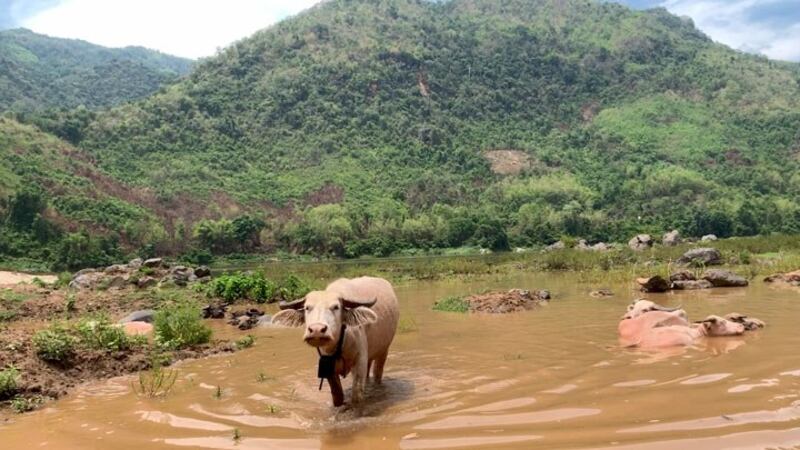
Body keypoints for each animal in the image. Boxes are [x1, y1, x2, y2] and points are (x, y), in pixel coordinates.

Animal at [272, 276, 400, 406]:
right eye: (307, 307)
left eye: (336, 307)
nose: (317, 330)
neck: (339, 345)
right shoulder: (327, 367)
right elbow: (338, 397)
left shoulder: (360, 361)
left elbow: (357, 396)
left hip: (384, 350)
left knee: (378, 373)